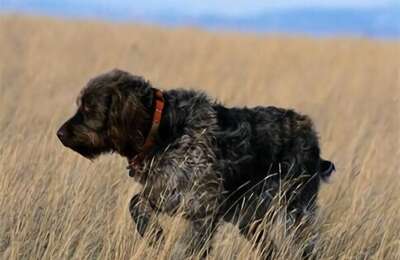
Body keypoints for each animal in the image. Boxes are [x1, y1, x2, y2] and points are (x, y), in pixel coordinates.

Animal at [57, 69, 334, 258]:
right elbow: (135, 203)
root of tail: (310, 134)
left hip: (296, 213)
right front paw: (154, 234)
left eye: (89, 109)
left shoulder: (203, 207)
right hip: (248, 218)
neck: (164, 130)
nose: (59, 133)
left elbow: (191, 246)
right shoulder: (166, 193)